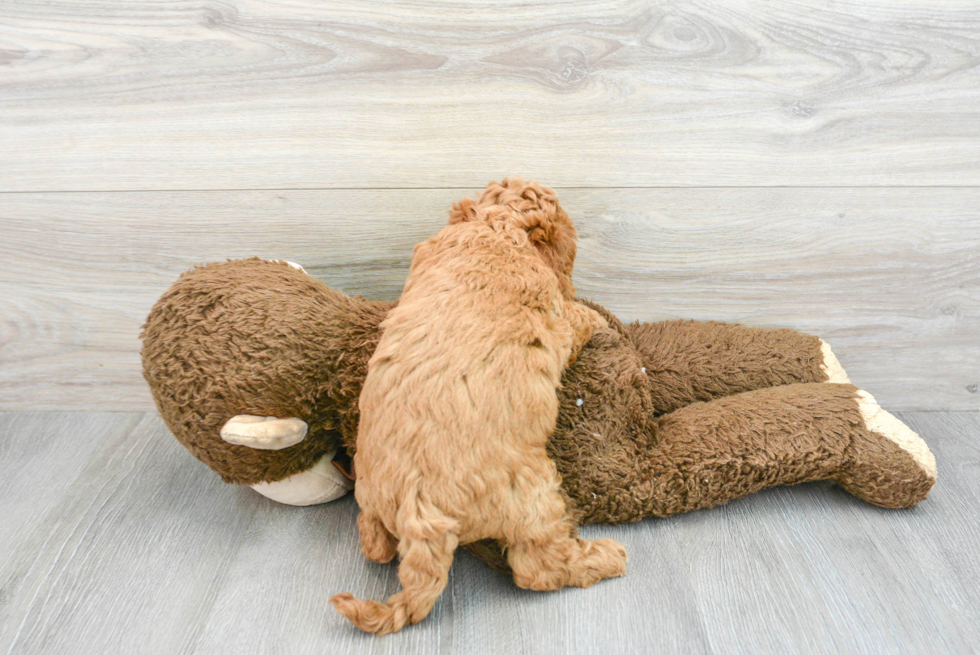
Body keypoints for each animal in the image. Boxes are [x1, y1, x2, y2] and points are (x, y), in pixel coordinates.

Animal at [330, 178, 628, 636]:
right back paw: (604, 558)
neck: (495, 225)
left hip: (371, 493)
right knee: (539, 569)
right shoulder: (556, 316)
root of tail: (419, 512)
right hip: (534, 494)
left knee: (374, 542)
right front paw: (596, 318)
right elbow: (576, 317)